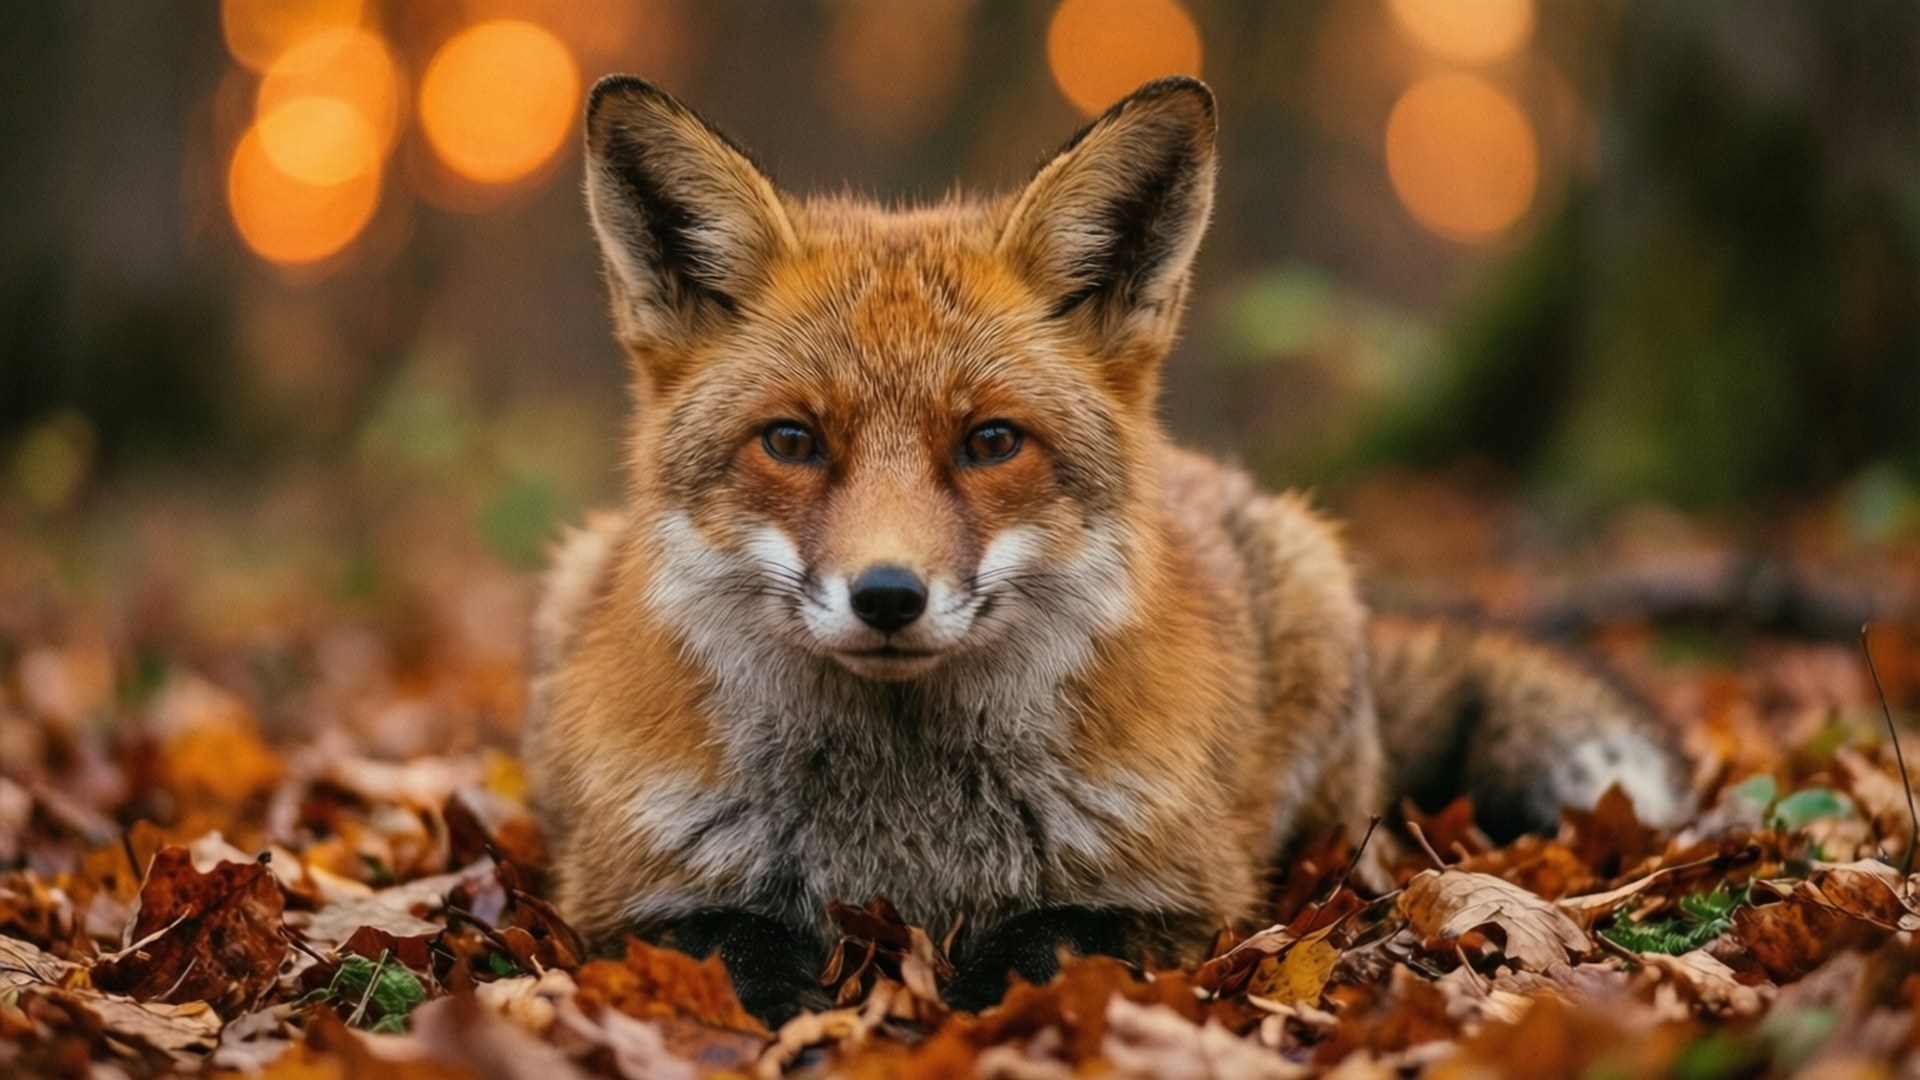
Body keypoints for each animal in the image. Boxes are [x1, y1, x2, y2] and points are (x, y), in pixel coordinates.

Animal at [524, 74, 1689, 1023]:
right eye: (793, 442)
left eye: (991, 441)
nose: (888, 596)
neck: (903, 843)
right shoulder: (621, 895)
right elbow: (735, 955)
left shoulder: (1180, 891)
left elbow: (1048, 945)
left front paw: (971, 1007)